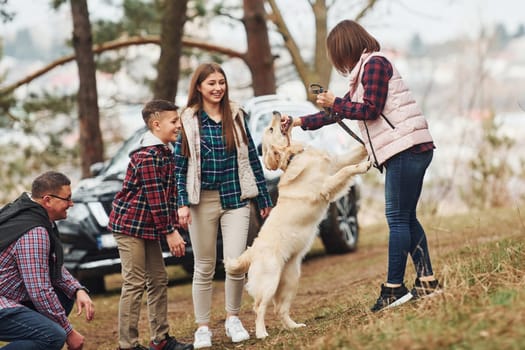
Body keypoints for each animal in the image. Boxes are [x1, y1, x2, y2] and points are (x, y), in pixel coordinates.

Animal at [223, 112, 370, 340]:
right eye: (271, 129)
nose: (276, 112)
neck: (295, 156)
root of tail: (252, 251)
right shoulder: (325, 185)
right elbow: (346, 170)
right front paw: (363, 166)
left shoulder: (335, 162)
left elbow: (353, 154)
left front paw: (367, 144)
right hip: (269, 281)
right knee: (259, 307)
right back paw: (262, 333)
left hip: (290, 279)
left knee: (279, 309)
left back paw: (294, 326)